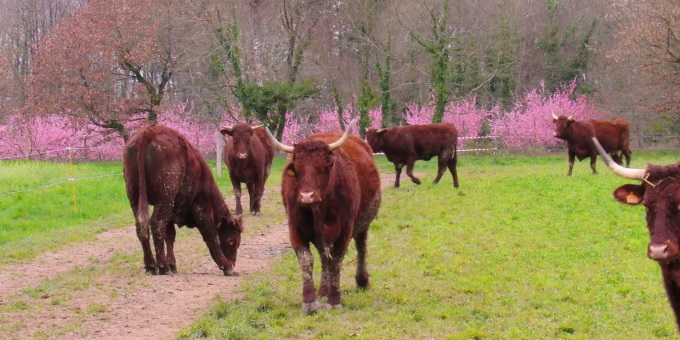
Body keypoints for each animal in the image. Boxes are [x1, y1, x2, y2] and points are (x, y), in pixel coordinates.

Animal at [123, 125, 243, 276]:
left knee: (142, 228)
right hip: (164, 198)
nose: (232, 264)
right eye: (231, 241)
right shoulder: (202, 207)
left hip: (135, 197)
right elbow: (211, 236)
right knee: (156, 223)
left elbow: (170, 236)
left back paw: (151, 266)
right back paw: (163, 267)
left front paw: (172, 264)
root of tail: (148, 132)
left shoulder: (171, 213)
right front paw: (226, 267)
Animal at [266, 119, 382, 314]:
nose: (306, 196)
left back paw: (361, 281)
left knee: (361, 247)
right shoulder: (295, 228)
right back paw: (322, 289)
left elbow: (336, 259)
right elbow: (306, 260)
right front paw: (309, 301)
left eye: (323, 168)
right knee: (323, 256)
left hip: (362, 224)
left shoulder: (345, 229)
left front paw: (334, 299)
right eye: (297, 169)